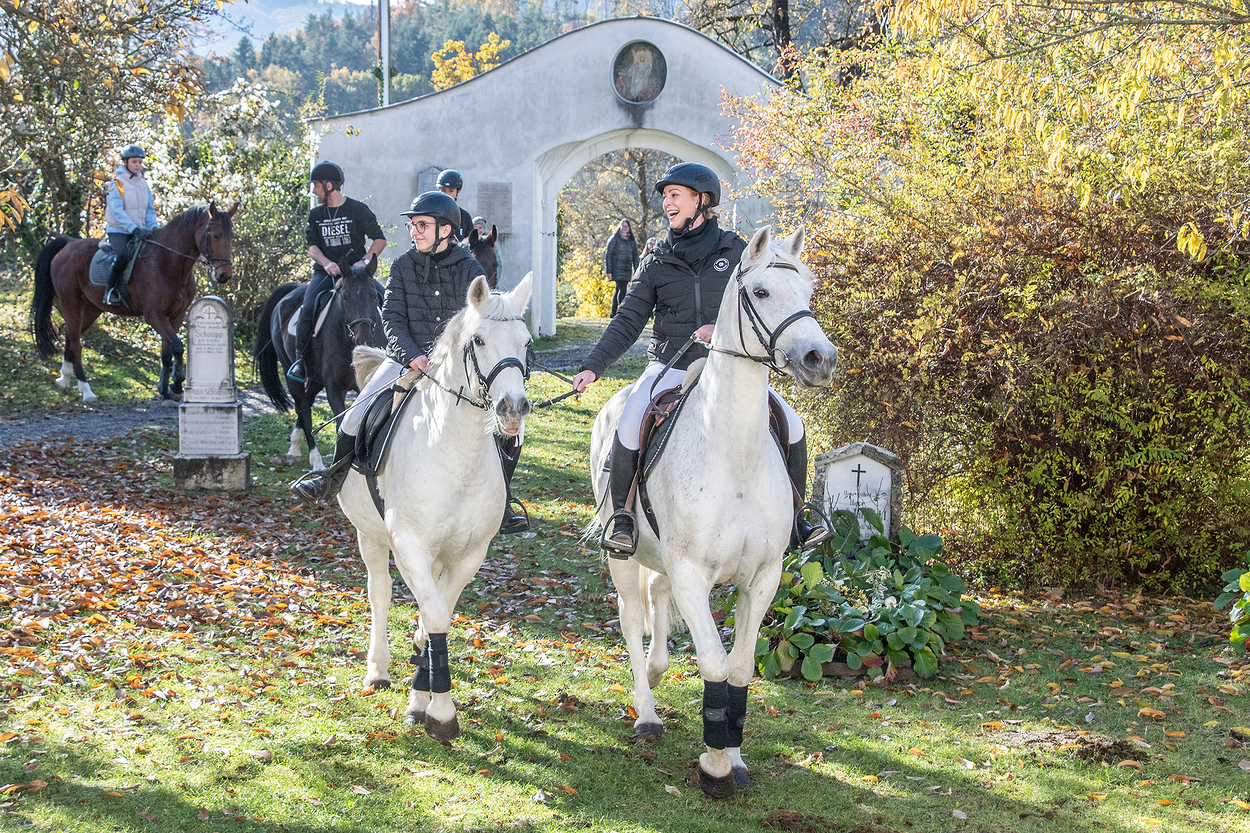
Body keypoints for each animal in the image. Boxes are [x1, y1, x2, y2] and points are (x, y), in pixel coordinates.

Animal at [31, 202, 237, 403]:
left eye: (230, 237)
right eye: (215, 236)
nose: (224, 275)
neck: (168, 262)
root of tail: (69, 243)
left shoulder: (175, 316)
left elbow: (167, 353)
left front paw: (165, 392)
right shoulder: (155, 316)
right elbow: (178, 347)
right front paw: (177, 385)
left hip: (91, 309)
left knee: (69, 338)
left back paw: (64, 380)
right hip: (71, 303)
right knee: (75, 344)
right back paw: (86, 390)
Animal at [252, 256, 384, 470]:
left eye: (374, 296)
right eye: (344, 297)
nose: (364, 339)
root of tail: (294, 289)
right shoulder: (334, 388)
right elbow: (342, 423)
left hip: (315, 378)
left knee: (306, 401)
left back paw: (294, 448)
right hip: (293, 373)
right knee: (304, 408)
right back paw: (315, 461)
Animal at [341, 273, 533, 740]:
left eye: (526, 342)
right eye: (478, 340)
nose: (513, 409)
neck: (454, 455)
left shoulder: (469, 555)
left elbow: (438, 616)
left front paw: (424, 694)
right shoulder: (409, 545)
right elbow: (435, 615)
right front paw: (438, 711)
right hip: (370, 536)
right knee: (380, 592)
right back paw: (378, 670)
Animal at [588, 226, 838, 798]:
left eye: (809, 292)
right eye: (762, 292)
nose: (820, 358)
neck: (732, 451)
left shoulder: (762, 577)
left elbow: (740, 669)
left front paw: (733, 755)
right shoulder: (692, 576)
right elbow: (714, 665)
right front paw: (715, 766)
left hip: (661, 561)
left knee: (656, 601)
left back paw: (656, 673)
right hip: (622, 556)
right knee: (631, 618)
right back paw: (646, 712)